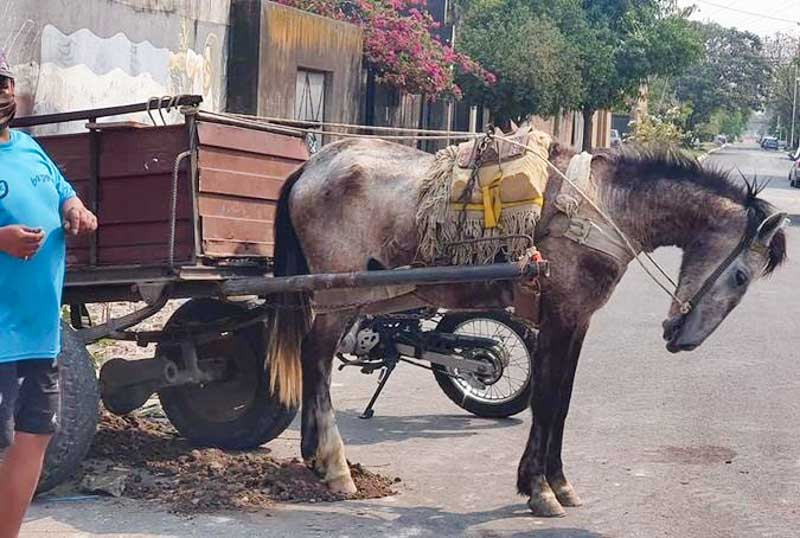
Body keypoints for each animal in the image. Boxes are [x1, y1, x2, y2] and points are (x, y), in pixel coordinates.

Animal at [264, 138, 788, 516]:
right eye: (741, 276)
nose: (683, 339)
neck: (602, 208)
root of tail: (314, 166)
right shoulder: (560, 317)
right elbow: (548, 400)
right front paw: (539, 489)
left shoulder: (576, 321)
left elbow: (562, 402)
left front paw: (557, 482)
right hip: (339, 295)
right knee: (316, 356)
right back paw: (334, 466)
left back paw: (315, 458)